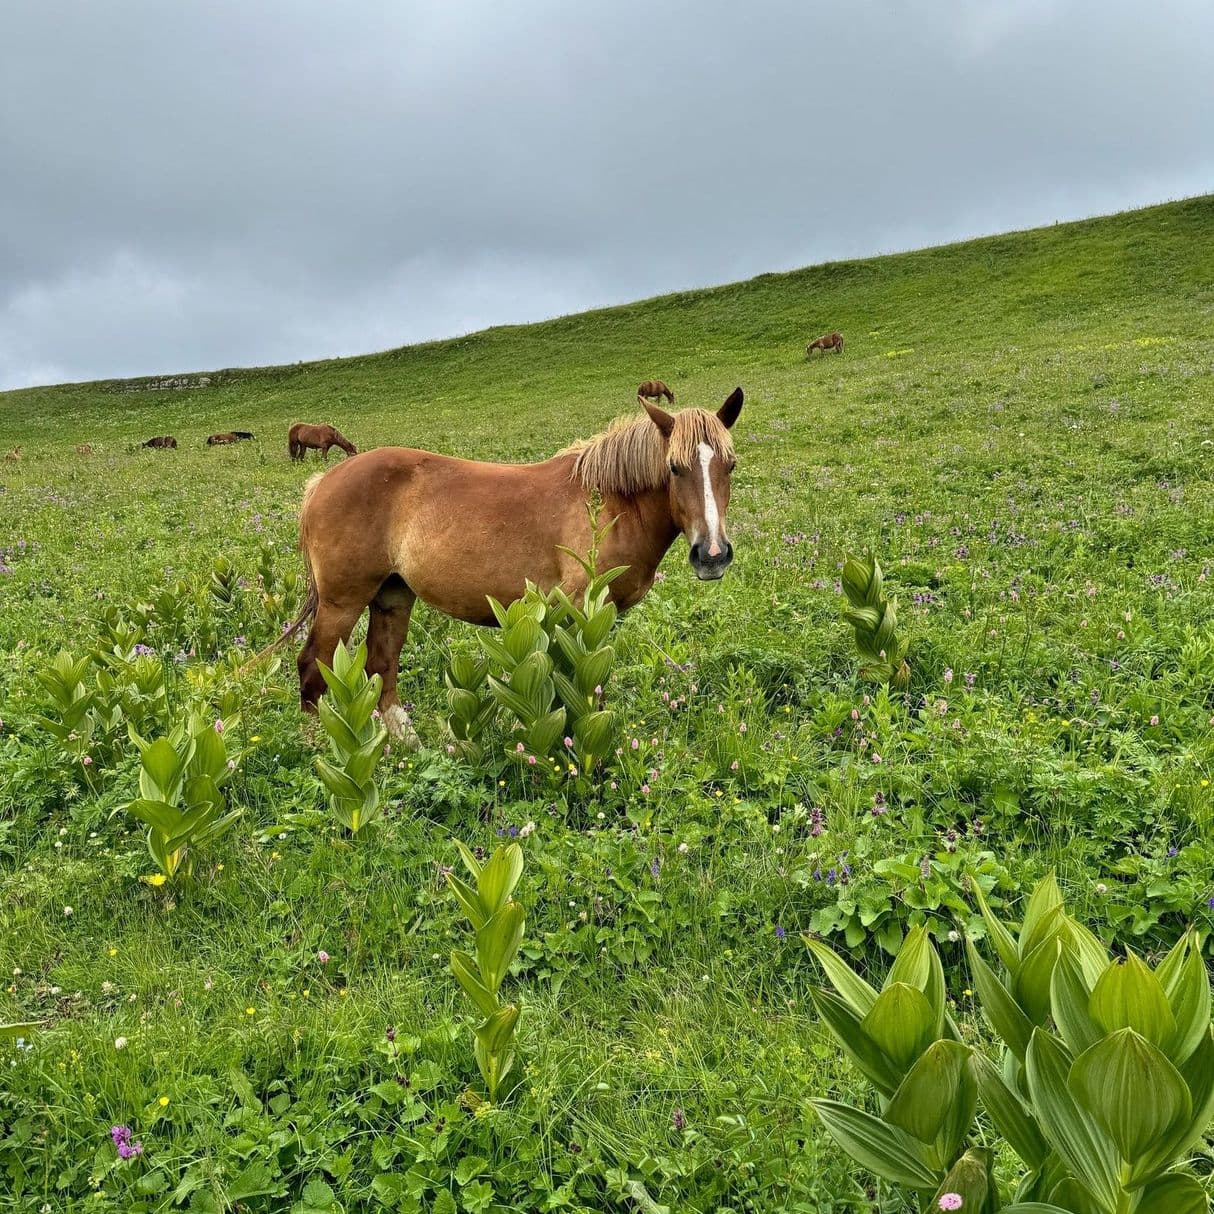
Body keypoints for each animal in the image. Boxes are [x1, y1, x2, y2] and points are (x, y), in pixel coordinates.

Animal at [281, 388, 738, 738]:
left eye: (730, 465)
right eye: (674, 467)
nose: (712, 555)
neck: (608, 502)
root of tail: (323, 481)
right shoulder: (576, 609)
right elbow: (574, 682)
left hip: (392, 595)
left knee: (382, 666)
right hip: (342, 603)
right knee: (312, 667)